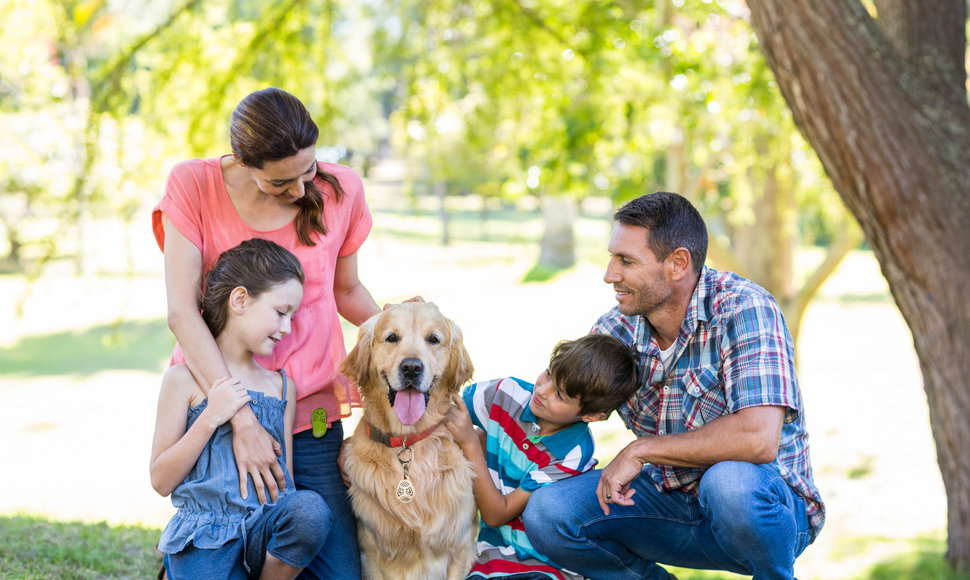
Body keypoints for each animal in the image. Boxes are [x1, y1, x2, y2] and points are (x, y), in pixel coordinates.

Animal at [340, 302, 476, 576]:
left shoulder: (461, 547)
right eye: (391, 337)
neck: (408, 441)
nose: (412, 368)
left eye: (433, 339)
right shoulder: (375, 555)